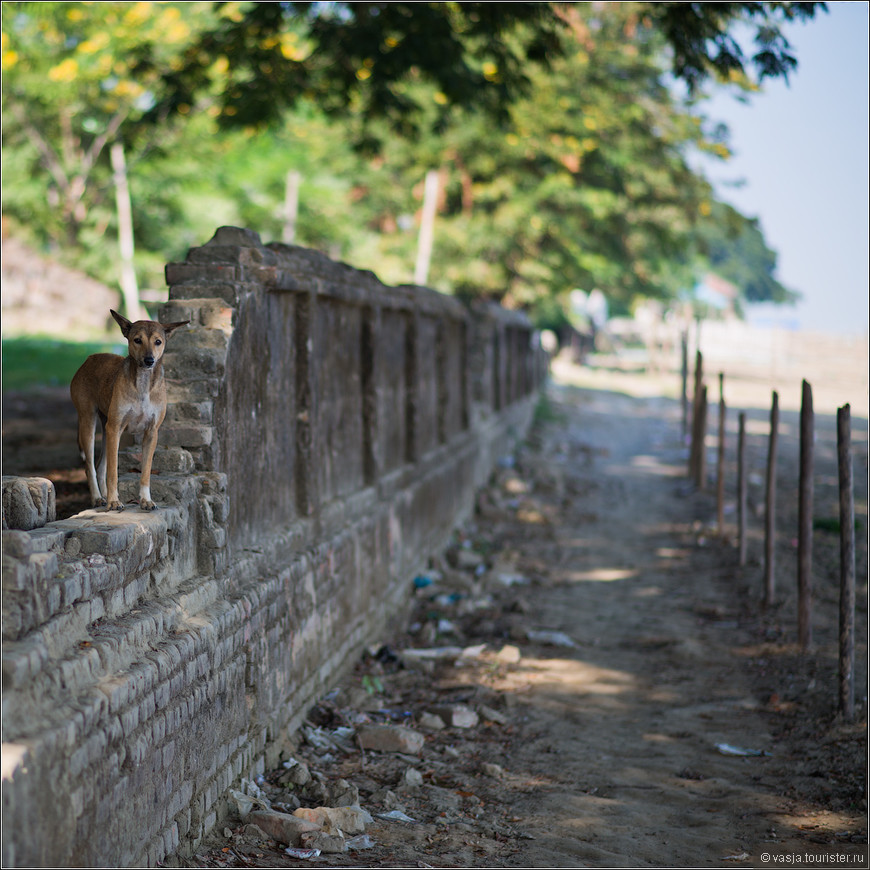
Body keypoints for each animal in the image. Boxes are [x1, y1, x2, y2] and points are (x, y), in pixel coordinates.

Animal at [70, 310, 188, 510]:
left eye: (158, 341)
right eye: (137, 340)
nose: (149, 360)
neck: (143, 384)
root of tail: (89, 359)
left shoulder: (151, 433)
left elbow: (146, 472)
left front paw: (146, 500)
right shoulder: (115, 428)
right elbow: (113, 473)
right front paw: (114, 501)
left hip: (107, 430)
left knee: (101, 466)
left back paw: (103, 496)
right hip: (90, 424)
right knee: (90, 466)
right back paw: (98, 497)